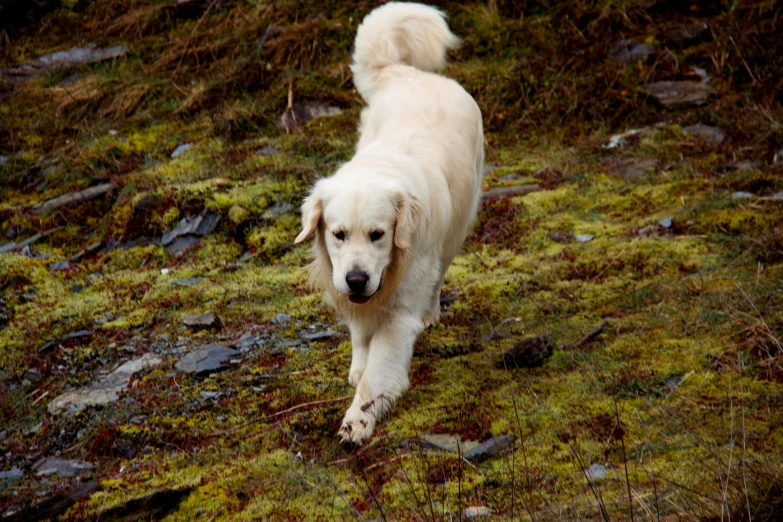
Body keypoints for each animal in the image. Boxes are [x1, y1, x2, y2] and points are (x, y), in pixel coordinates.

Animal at [294, 3, 484, 442]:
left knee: (439, 275)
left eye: (378, 235)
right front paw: (357, 365)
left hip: (455, 231)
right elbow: (361, 340)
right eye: (338, 234)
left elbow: (377, 376)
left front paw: (357, 421)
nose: (356, 280)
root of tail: (409, 73)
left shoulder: (398, 314)